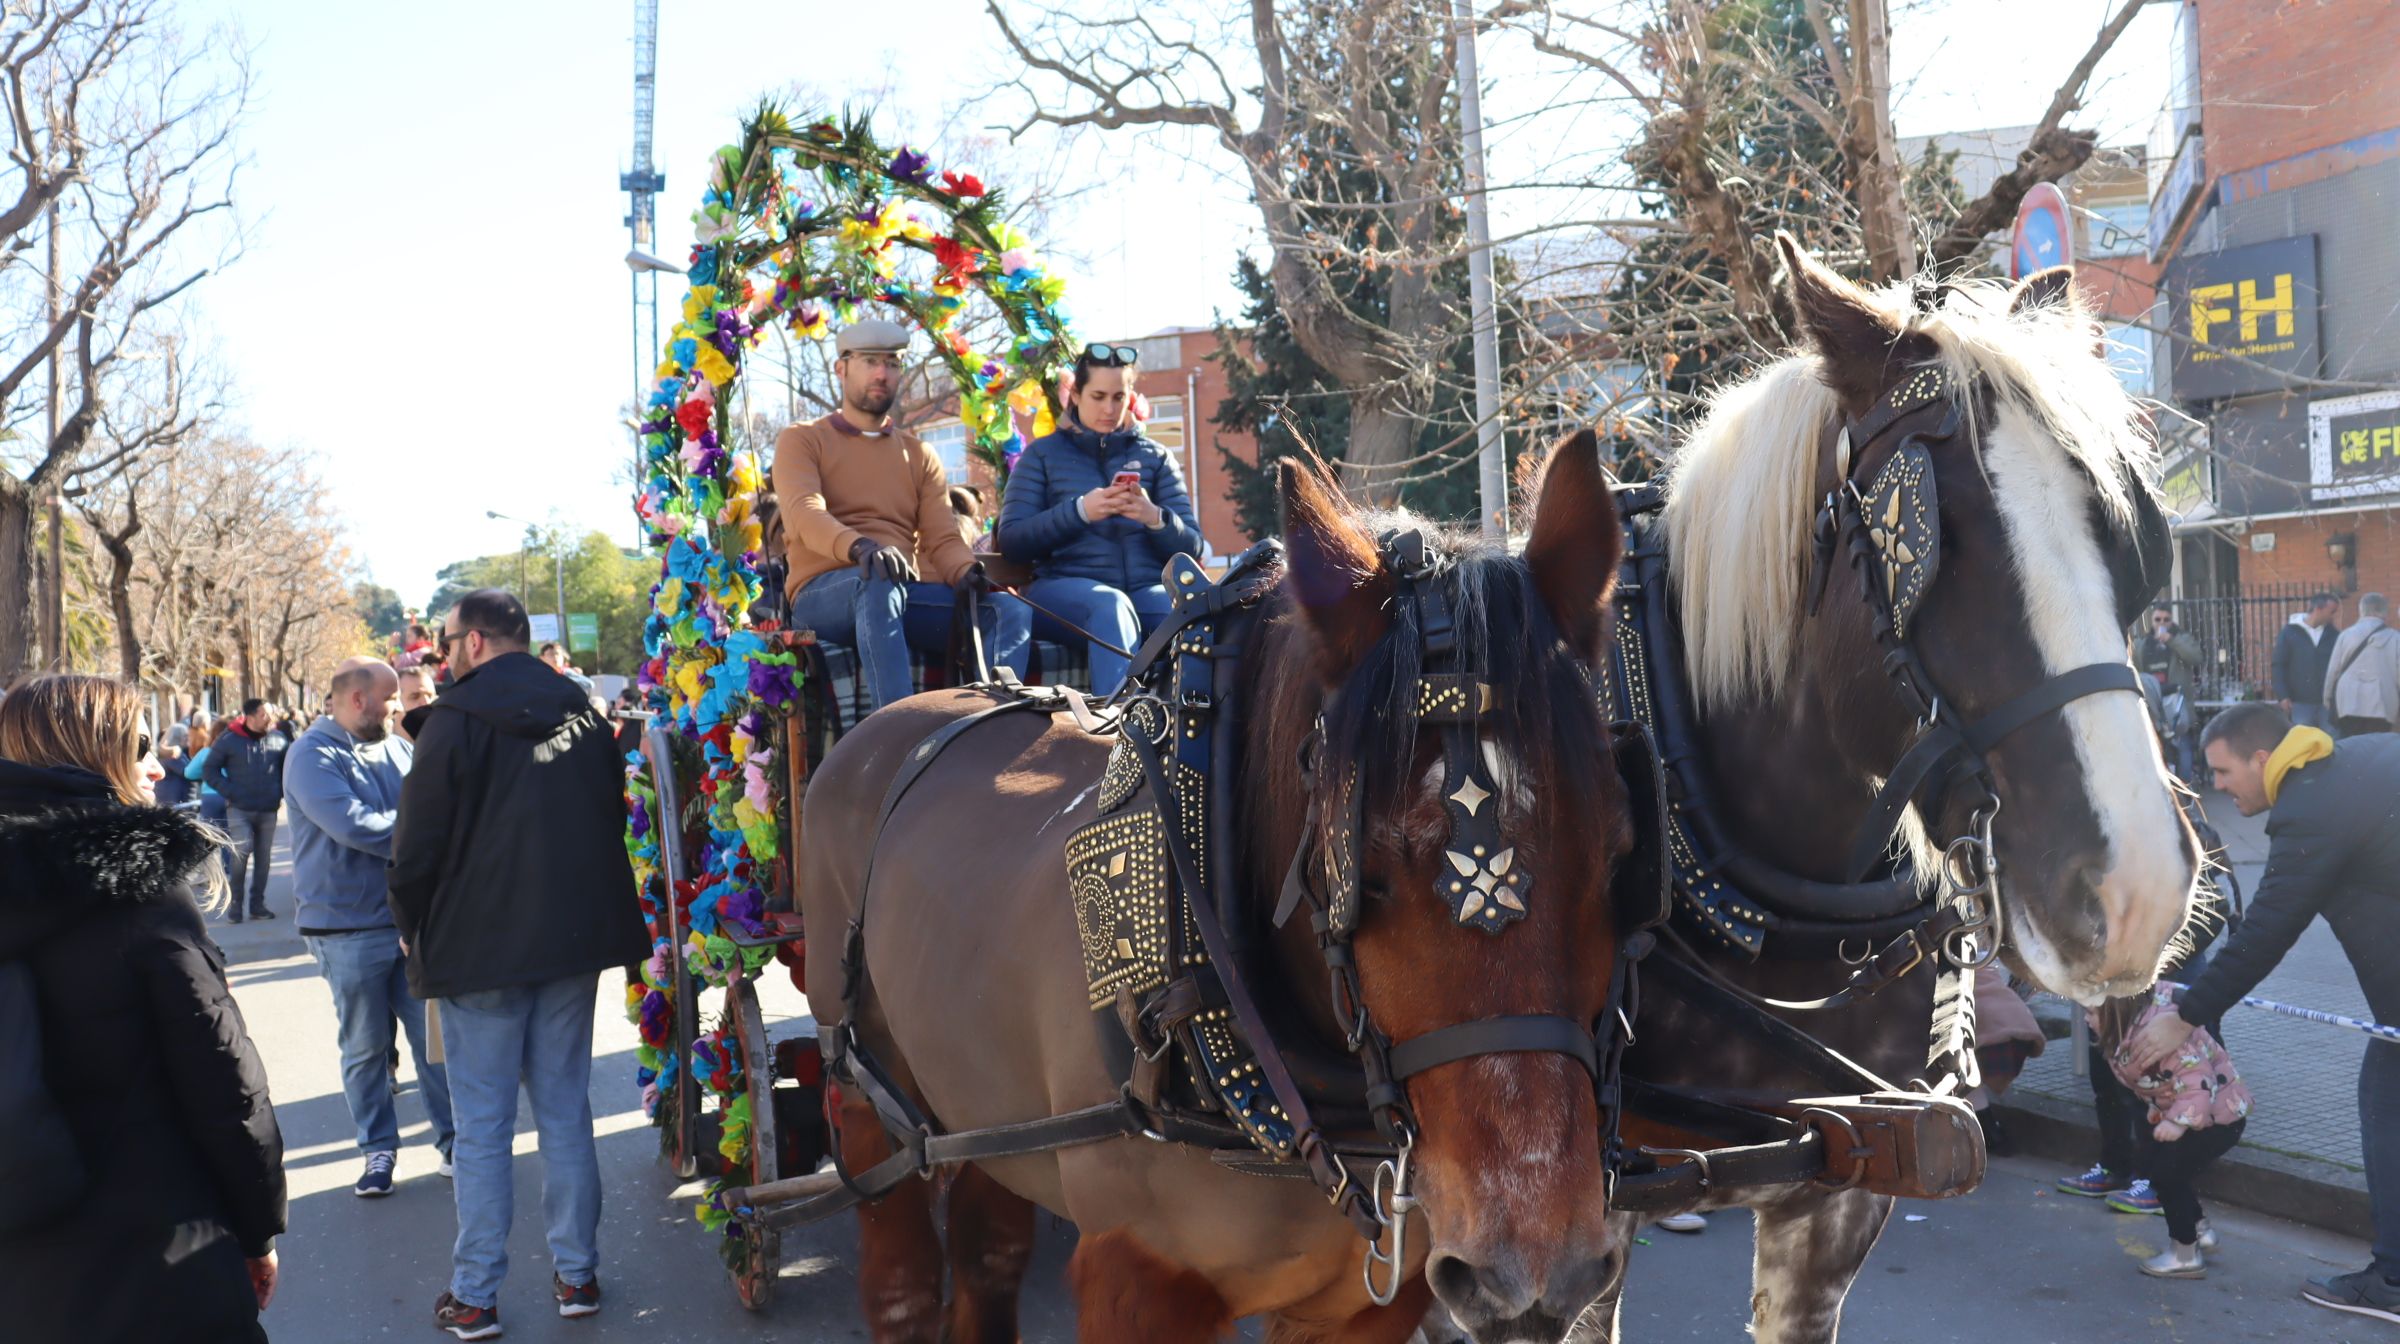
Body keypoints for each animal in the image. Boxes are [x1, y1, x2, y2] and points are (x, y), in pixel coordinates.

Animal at [796, 439, 1641, 1334]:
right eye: (1362, 879)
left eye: (1620, 858)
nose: (1532, 1271)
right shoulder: (1138, 1279)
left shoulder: (1364, 1308)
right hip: (868, 1096)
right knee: (902, 1279)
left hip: (987, 1114)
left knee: (988, 1253)